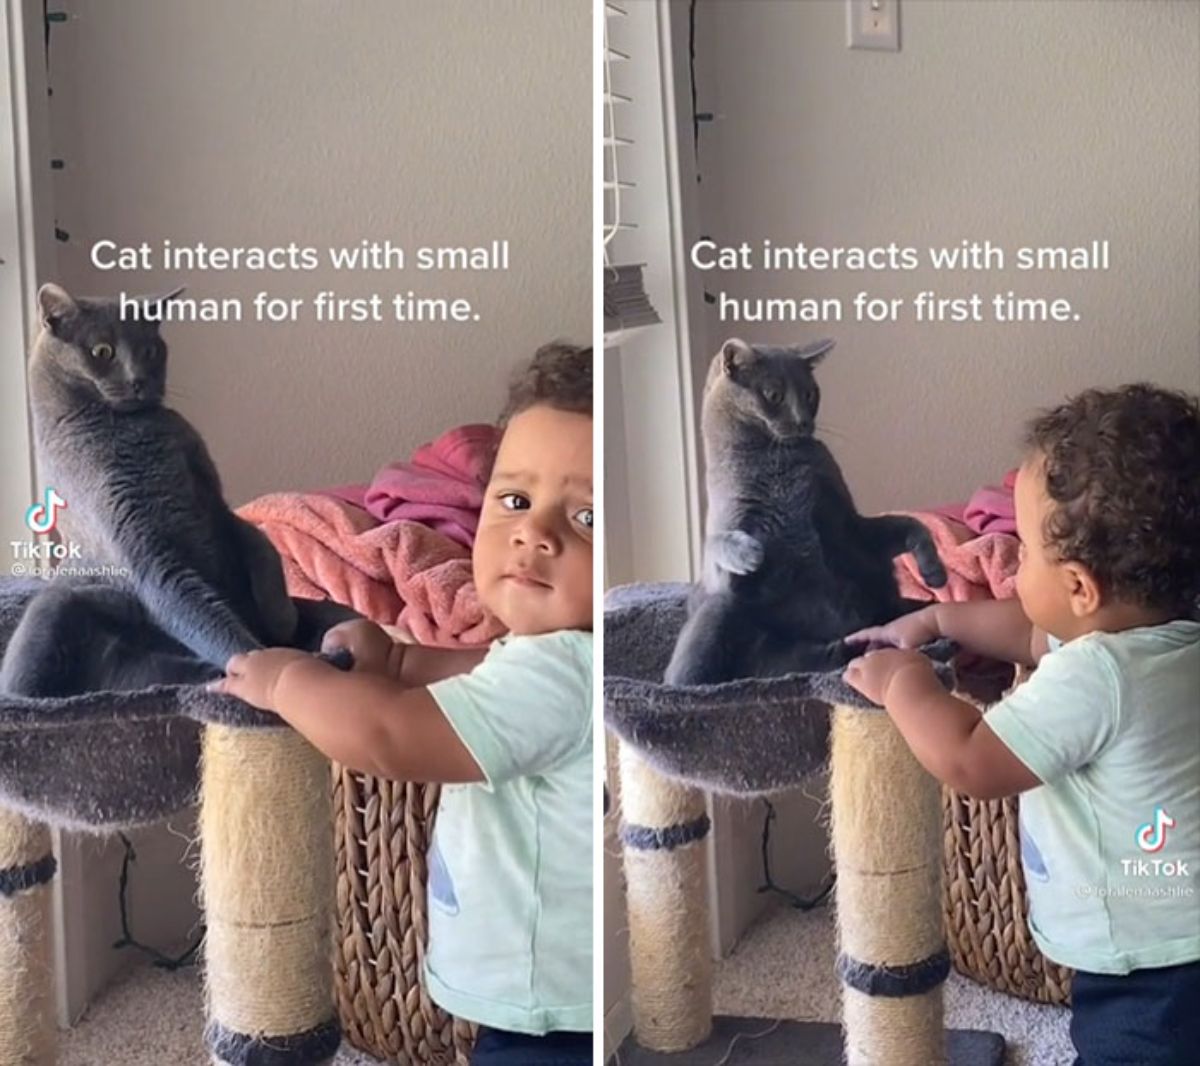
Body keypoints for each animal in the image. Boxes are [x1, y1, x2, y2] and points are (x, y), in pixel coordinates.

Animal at [2, 283, 350, 696]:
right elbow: (195, 607)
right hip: (54, 608)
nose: (139, 379)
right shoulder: (144, 549)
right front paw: (260, 662)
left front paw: (281, 618)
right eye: (102, 351)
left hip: (333, 609)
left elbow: (259, 542)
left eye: (151, 350)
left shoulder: (216, 503)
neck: (136, 430)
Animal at [667, 343, 945, 691]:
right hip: (716, 617)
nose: (802, 421)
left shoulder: (849, 528)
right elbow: (716, 541)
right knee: (687, 674)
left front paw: (935, 574)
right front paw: (750, 553)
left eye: (810, 394)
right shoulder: (729, 540)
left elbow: (912, 524)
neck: (777, 465)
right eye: (773, 394)